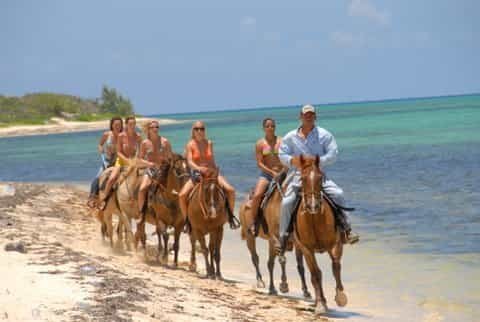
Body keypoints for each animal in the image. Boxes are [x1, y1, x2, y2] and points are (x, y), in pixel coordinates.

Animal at [294, 155, 346, 314]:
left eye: (320, 177)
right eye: (303, 178)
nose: (313, 205)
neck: (315, 219)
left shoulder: (335, 244)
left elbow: (336, 266)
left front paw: (341, 297)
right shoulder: (307, 249)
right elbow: (316, 274)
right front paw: (321, 304)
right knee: (314, 273)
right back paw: (319, 300)